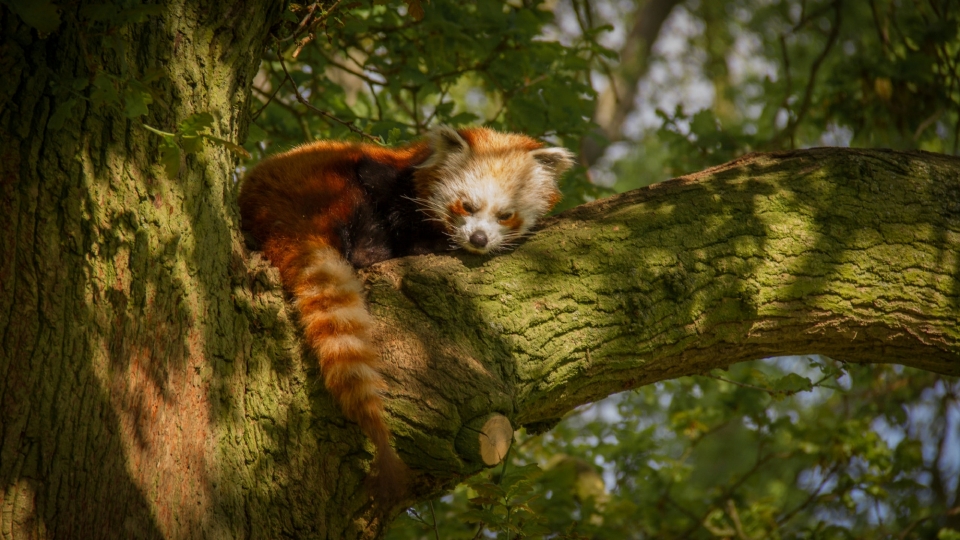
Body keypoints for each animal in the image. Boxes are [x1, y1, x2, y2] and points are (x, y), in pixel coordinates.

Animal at [237, 125, 572, 498]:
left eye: (505, 215)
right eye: (467, 206)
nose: (479, 239)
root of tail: (276, 212)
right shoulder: (385, 183)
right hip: (327, 187)